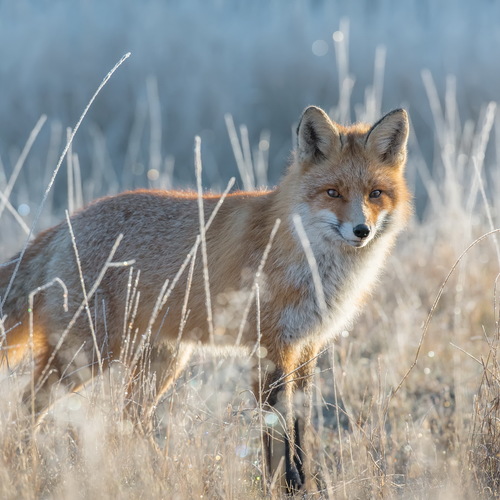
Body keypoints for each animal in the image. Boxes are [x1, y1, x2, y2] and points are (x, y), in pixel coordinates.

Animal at [0, 106, 410, 492]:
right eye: (333, 193)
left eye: (375, 193)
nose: (361, 230)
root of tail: (63, 225)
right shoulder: (269, 349)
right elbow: (276, 436)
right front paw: (286, 488)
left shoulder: (305, 348)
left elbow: (299, 430)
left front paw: (310, 486)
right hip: (86, 356)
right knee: (26, 407)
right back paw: (25, 465)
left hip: (161, 362)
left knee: (127, 421)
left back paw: (160, 474)